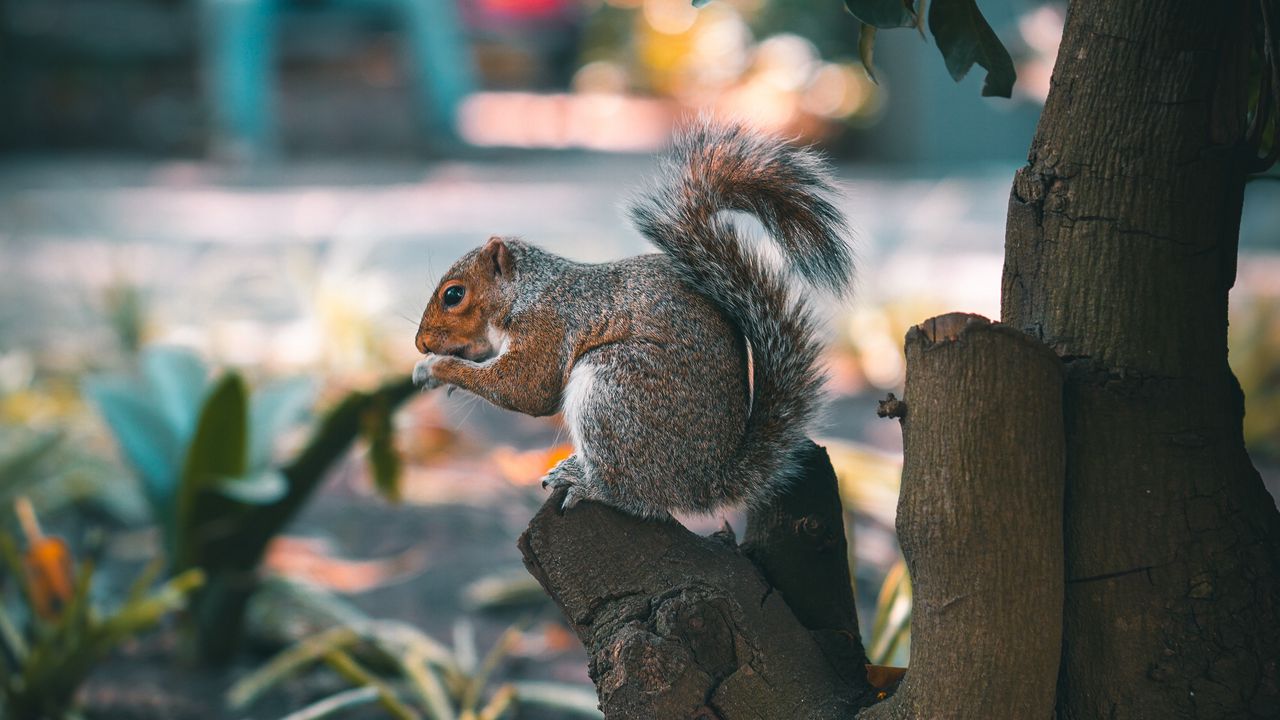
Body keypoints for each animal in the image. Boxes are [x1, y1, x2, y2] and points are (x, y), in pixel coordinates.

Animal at [412, 121, 854, 518]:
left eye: (454, 295)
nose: (420, 344)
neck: (528, 292)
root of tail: (704, 483)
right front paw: (429, 370)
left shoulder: (547, 327)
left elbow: (524, 388)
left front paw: (439, 368)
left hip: (614, 389)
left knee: (638, 498)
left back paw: (589, 484)